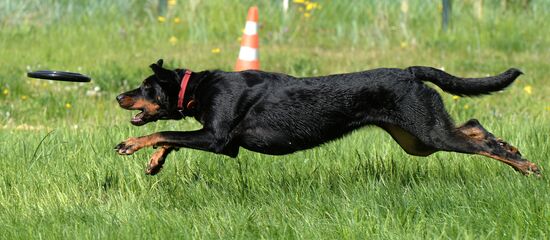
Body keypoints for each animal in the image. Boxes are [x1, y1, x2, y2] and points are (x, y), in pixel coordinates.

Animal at [116, 59, 544, 175]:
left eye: (145, 87)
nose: (120, 96)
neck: (198, 87)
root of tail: (409, 71)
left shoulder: (219, 139)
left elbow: (166, 132)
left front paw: (133, 145)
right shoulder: (213, 137)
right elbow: (170, 139)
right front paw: (154, 162)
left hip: (427, 133)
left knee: (474, 138)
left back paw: (524, 164)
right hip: (416, 140)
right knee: (473, 127)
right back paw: (512, 150)